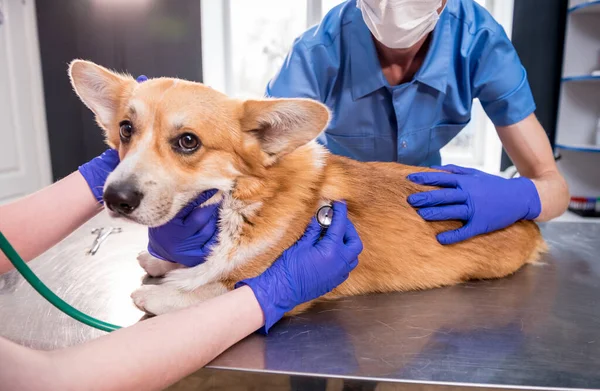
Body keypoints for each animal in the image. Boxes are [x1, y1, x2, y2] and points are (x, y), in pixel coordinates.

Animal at [68, 59, 548, 316]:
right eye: (126, 129)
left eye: (188, 142)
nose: (115, 198)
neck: (248, 200)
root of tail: (531, 223)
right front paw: (162, 259)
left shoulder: (267, 285)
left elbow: (209, 290)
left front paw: (157, 292)